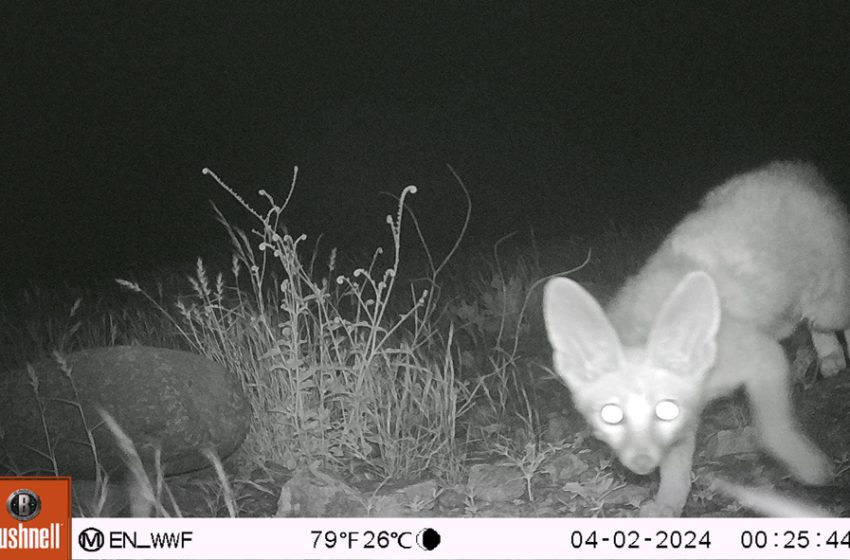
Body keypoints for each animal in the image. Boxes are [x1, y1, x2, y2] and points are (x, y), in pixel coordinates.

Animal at [540, 161, 844, 516]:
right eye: (611, 416)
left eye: (663, 409)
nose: (640, 464)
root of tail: (791, 168)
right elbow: (675, 467)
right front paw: (667, 504)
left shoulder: (762, 357)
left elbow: (773, 428)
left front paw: (809, 466)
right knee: (807, 323)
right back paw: (830, 357)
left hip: (829, 301)